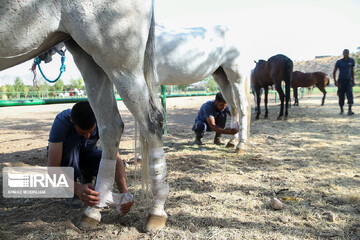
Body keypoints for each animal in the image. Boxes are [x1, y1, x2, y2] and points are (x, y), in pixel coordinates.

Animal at [0, 0, 168, 232]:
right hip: (88, 57)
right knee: (111, 127)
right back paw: (94, 209)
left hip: (119, 62)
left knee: (152, 122)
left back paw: (156, 212)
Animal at [156, 24, 249, 154]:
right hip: (222, 77)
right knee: (233, 107)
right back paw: (232, 141)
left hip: (236, 76)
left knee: (242, 107)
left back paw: (241, 145)